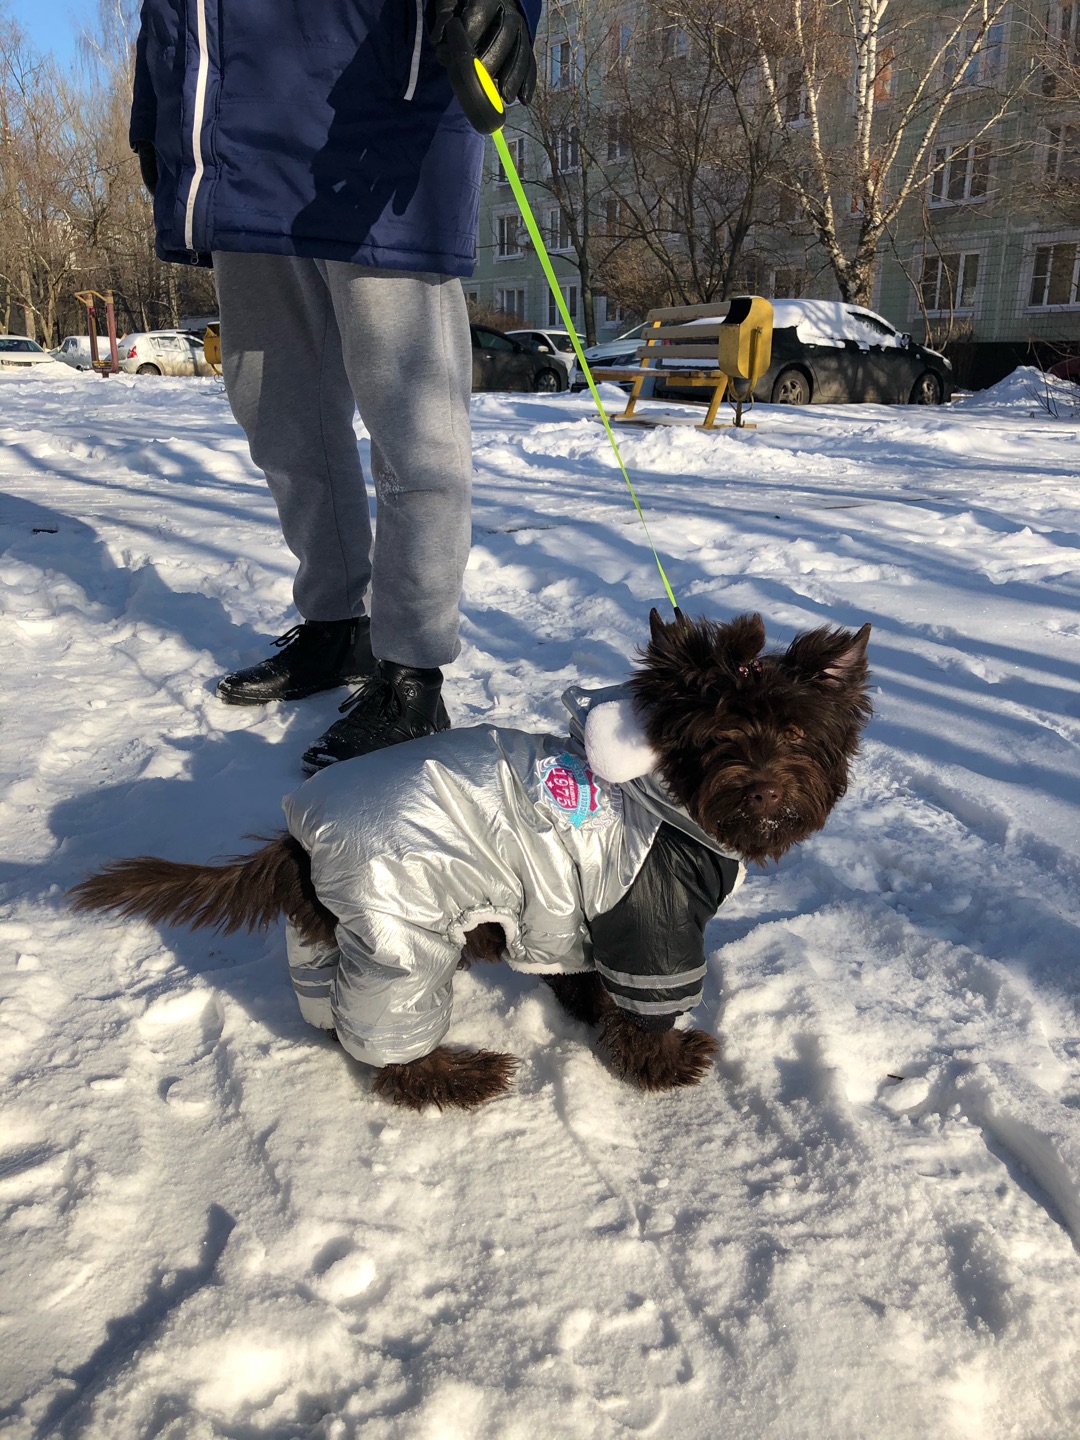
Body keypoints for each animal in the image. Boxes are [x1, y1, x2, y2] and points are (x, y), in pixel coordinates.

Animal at [72, 607, 875, 1111]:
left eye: (797, 733)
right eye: (717, 737)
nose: (766, 786)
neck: (664, 796)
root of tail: (296, 839)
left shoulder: (579, 915)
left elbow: (581, 974)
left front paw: (588, 1012)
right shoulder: (652, 922)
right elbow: (646, 1006)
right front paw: (663, 1067)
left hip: (334, 936)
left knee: (330, 1010)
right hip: (401, 938)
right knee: (391, 1047)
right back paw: (458, 1077)